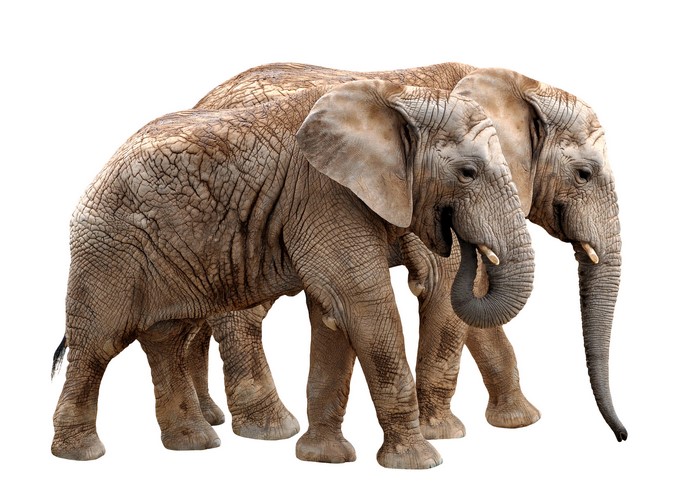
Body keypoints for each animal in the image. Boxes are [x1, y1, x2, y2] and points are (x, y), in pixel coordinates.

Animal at [50, 78, 536, 469]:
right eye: (468, 172)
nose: (463, 240)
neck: (399, 100)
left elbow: (332, 316)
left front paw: (323, 459)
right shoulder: (327, 195)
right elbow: (363, 307)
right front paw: (418, 464)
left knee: (167, 337)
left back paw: (194, 444)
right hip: (108, 249)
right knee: (98, 346)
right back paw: (80, 455)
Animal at [174, 61, 627, 459]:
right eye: (585, 174)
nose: (621, 437)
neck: (517, 85)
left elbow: (477, 305)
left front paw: (519, 421)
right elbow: (446, 289)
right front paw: (443, 434)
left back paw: (212, 419)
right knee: (241, 314)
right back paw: (268, 430)